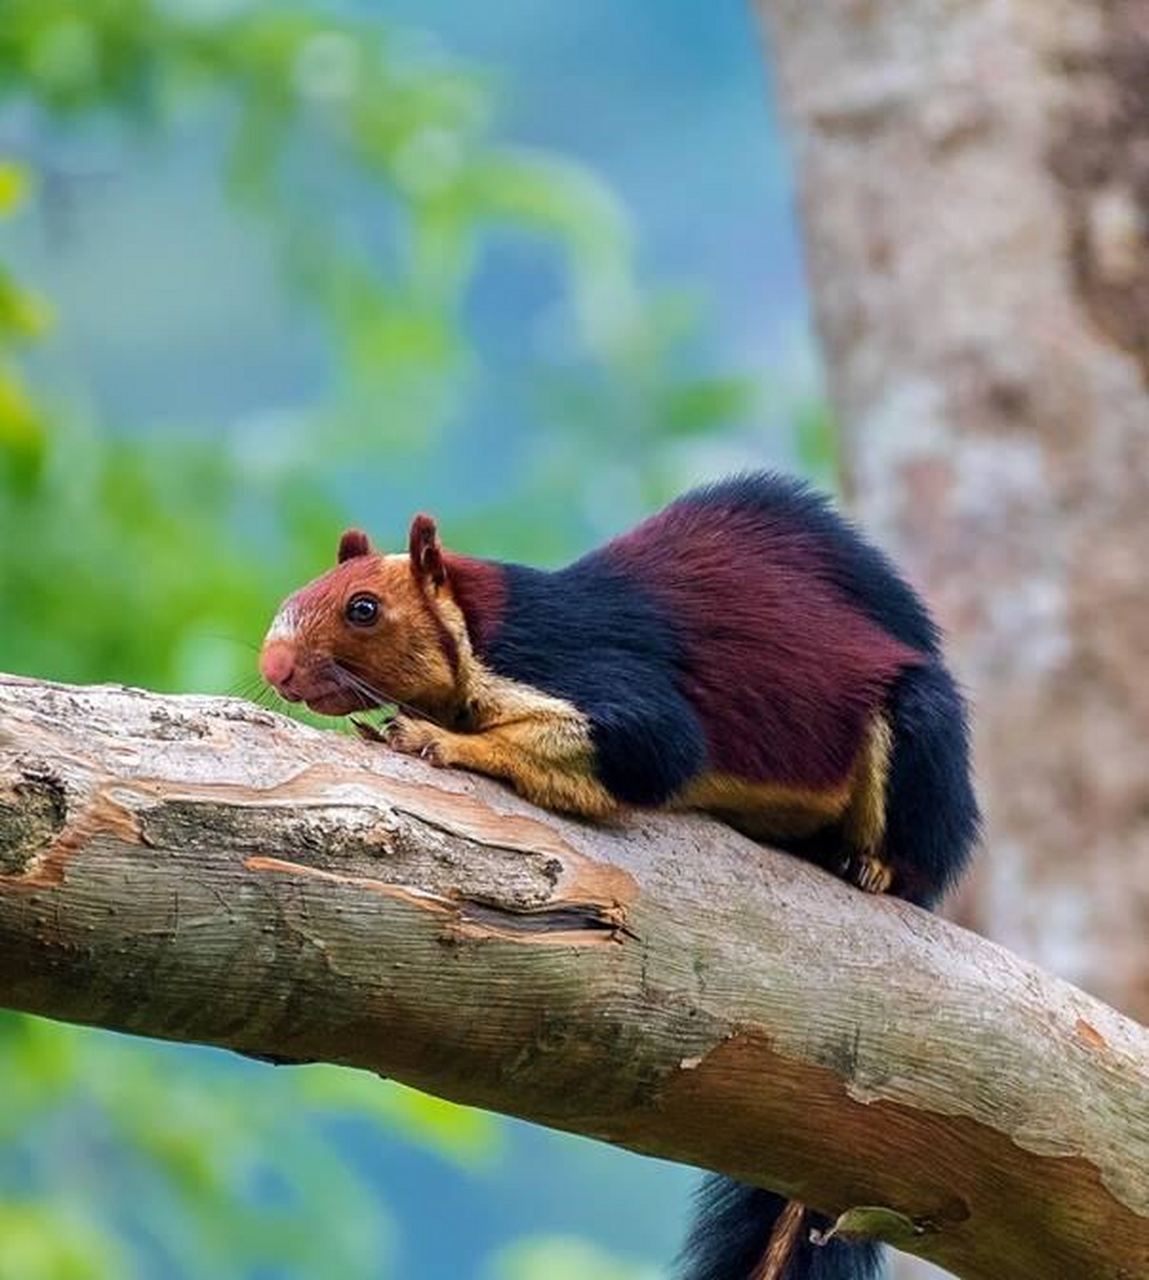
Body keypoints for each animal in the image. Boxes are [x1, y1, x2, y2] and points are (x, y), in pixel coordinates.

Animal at [257, 473, 977, 1280]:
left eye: (364, 609)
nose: (274, 667)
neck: (483, 633)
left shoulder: (602, 683)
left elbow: (640, 748)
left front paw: (436, 738)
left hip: (920, 738)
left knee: (915, 853)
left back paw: (874, 866)